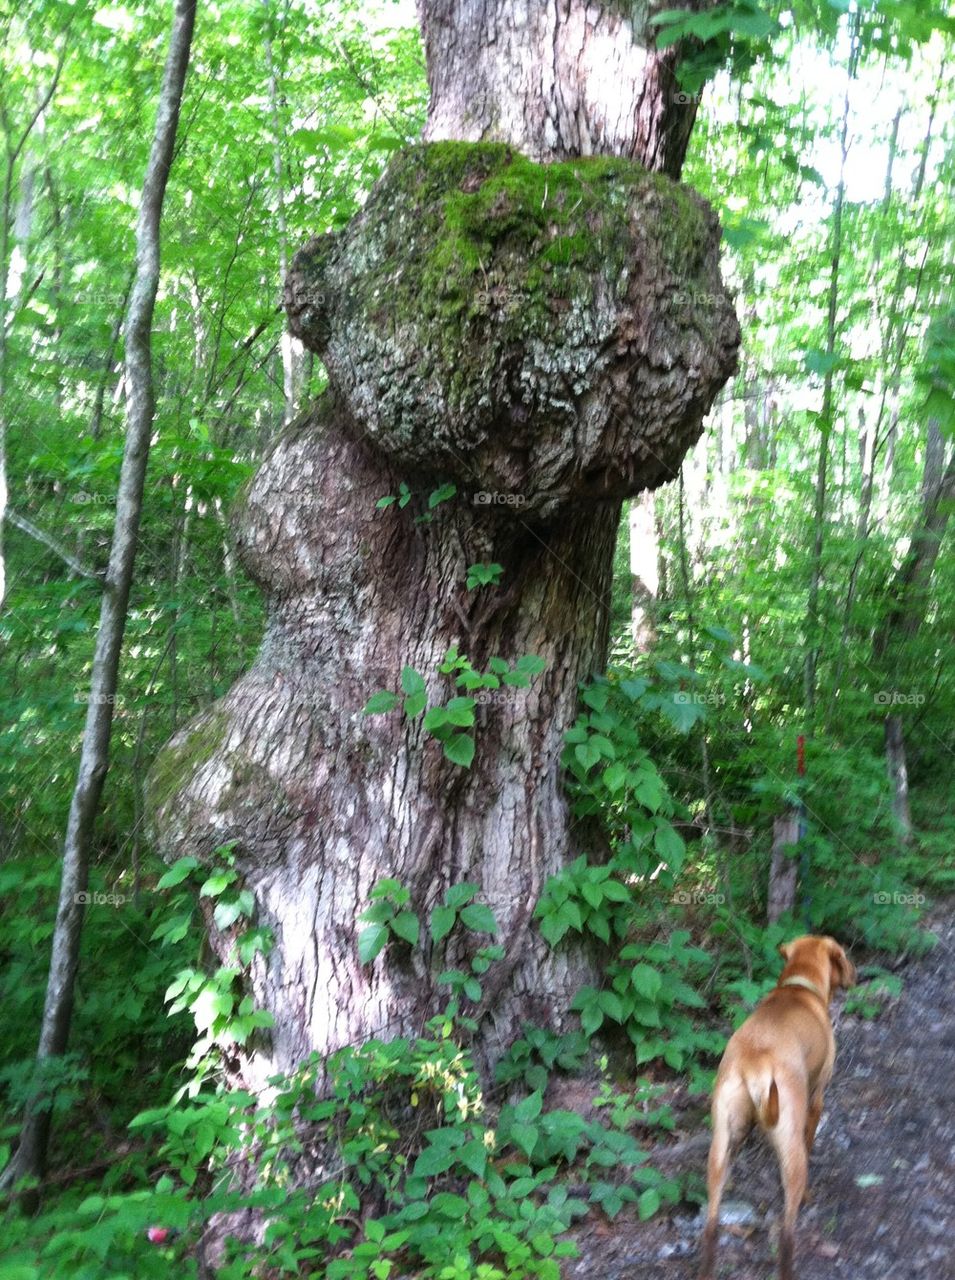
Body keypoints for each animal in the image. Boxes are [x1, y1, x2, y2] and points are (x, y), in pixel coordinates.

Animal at [696, 931, 850, 1280]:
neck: (799, 986)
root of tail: (755, 1062)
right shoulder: (817, 1096)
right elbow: (811, 1136)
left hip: (719, 1148)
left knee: (711, 1226)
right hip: (791, 1154)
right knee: (787, 1232)